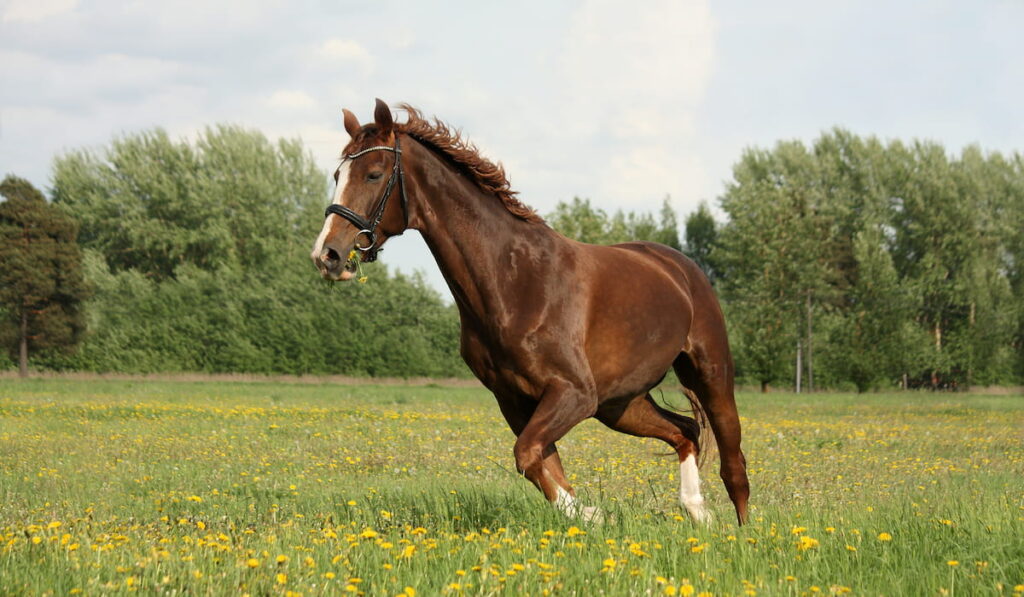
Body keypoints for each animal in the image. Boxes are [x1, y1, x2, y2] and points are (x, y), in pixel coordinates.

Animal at [307, 100, 749, 524]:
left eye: (374, 174)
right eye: (338, 174)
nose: (327, 255)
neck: (514, 280)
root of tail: (680, 267)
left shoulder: (573, 394)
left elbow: (528, 456)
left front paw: (592, 515)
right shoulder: (516, 401)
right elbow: (541, 465)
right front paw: (589, 517)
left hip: (708, 376)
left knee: (733, 464)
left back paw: (739, 531)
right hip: (620, 405)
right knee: (685, 431)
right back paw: (697, 512)